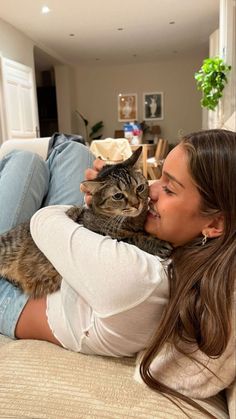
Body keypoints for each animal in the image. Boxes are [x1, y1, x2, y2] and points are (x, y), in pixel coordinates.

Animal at [0, 148, 171, 298]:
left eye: (140, 188)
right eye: (118, 196)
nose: (137, 204)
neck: (133, 221)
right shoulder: (106, 234)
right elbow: (134, 237)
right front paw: (157, 244)